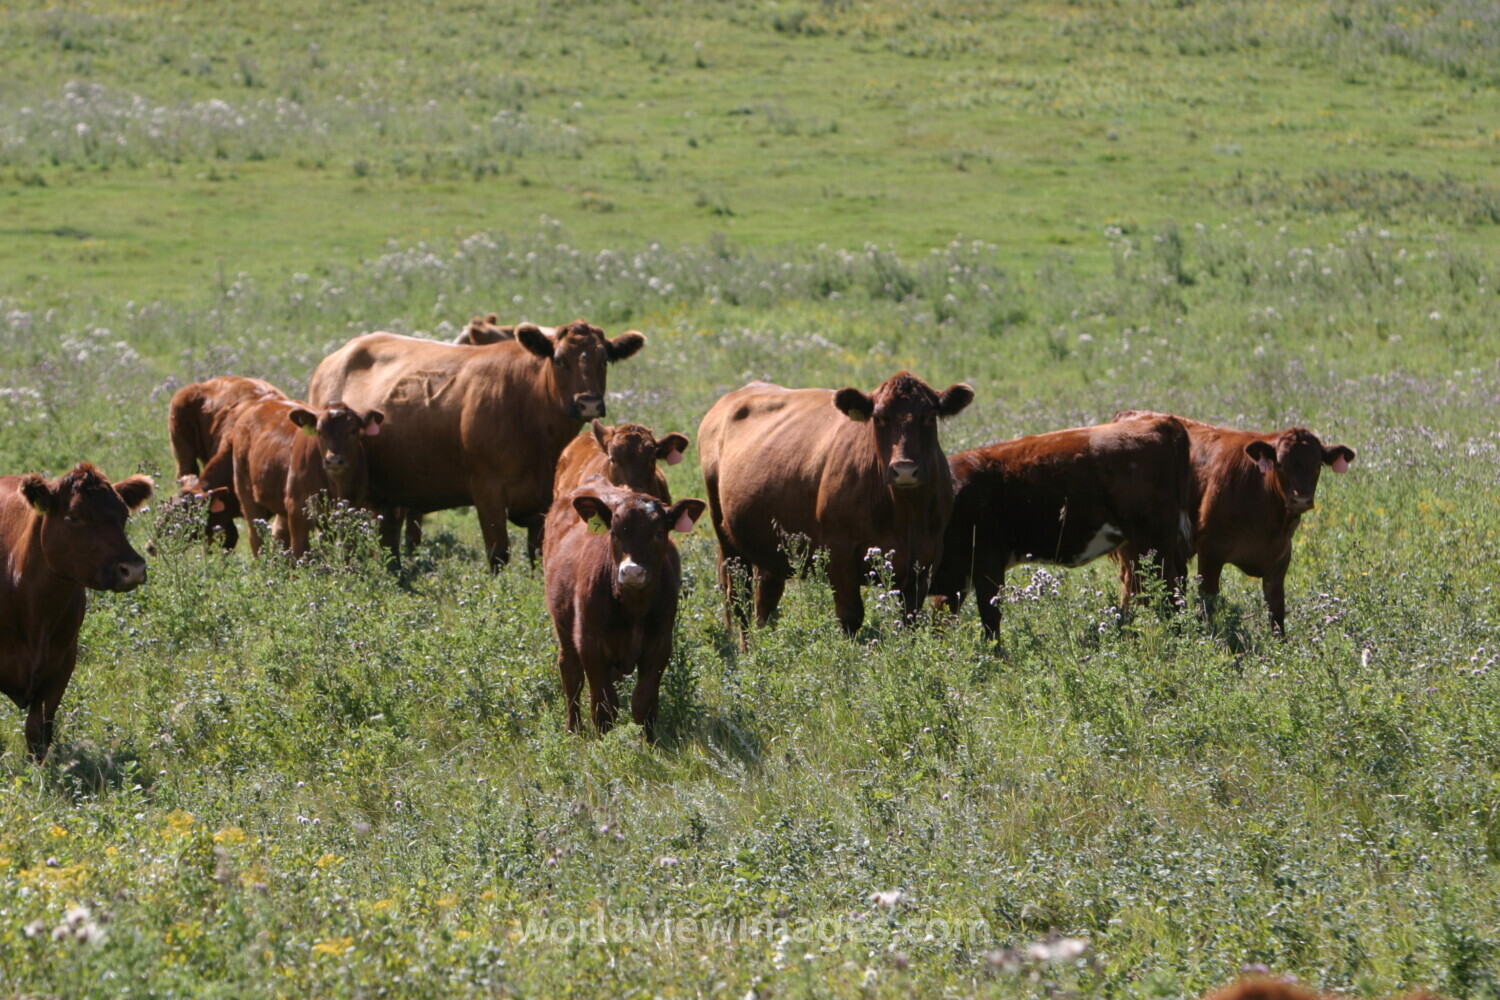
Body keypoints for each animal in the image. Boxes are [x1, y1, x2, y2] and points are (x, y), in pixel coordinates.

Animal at [226, 398, 384, 558]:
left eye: (353, 430)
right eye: (319, 431)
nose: (333, 460)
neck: (336, 485)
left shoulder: (351, 511)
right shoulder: (298, 510)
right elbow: (300, 551)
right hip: (246, 493)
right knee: (256, 538)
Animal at [306, 320, 645, 569]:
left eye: (605, 360)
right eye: (559, 360)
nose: (588, 402)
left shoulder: (542, 501)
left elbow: (538, 556)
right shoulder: (487, 491)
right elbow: (498, 554)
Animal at [542, 482, 705, 742]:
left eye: (659, 533)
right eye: (614, 533)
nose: (631, 571)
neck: (633, 608)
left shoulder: (660, 645)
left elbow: (643, 703)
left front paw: (650, 744)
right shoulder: (589, 643)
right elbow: (604, 705)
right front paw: (605, 745)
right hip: (564, 627)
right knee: (571, 673)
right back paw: (573, 729)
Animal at [697, 372, 974, 644]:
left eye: (929, 417)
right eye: (879, 418)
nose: (904, 469)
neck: (904, 512)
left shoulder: (926, 558)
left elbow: (910, 619)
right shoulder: (839, 552)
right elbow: (850, 616)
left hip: (769, 546)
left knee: (765, 598)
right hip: (728, 539)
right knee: (739, 599)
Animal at [1113, 410, 1355, 633]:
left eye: (1317, 465)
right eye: (1280, 464)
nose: (1301, 499)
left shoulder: (1280, 557)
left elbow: (1276, 610)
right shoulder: (1210, 552)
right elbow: (1207, 604)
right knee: (1132, 584)